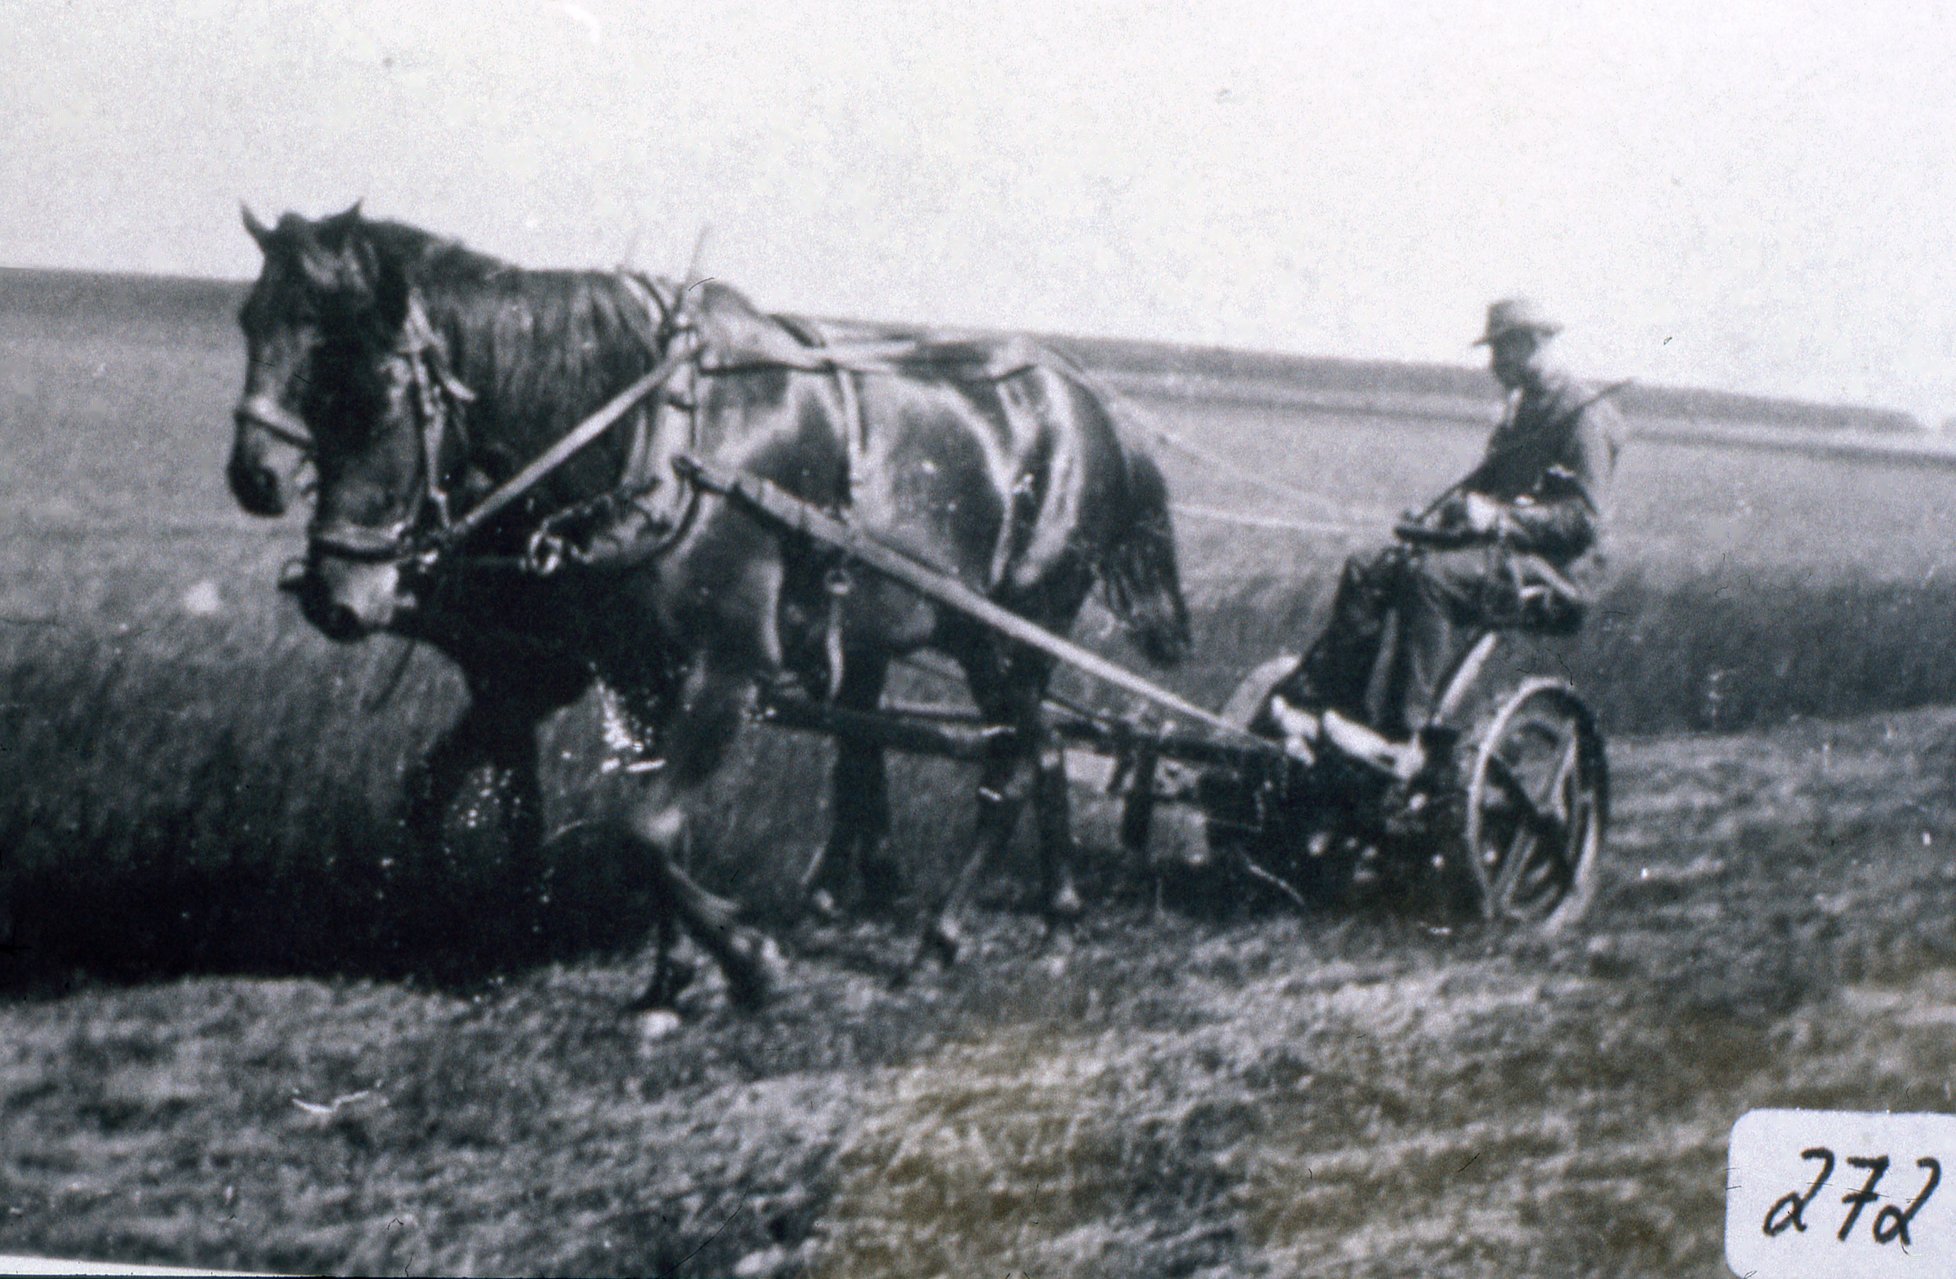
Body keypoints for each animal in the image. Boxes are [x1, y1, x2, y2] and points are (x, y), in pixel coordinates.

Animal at [222, 205, 1181, 1009]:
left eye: (379, 398)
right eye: (248, 324)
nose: (334, 591)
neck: (657, 438)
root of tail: (1090, 402)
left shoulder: (720, 668)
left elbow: (643, 827)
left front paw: (746, 961)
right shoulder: (625, 671)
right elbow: (622, 822)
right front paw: (665, 974)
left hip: (1016, 626)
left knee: (1013, 762)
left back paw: (941, 936)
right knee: (1036, 745)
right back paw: (1052, 911)